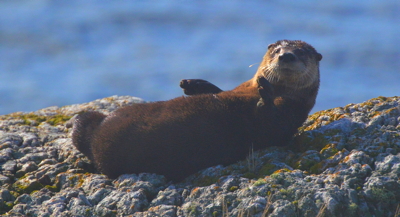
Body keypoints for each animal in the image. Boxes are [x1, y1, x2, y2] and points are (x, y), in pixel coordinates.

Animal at [72, 40, 322, 181]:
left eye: (302, 53)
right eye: (277, 49)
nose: (286, 55)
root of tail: (95, 138)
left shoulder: (290, 115)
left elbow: (271, 125)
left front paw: (265, 93)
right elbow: (220, 90)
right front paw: (194, 84)